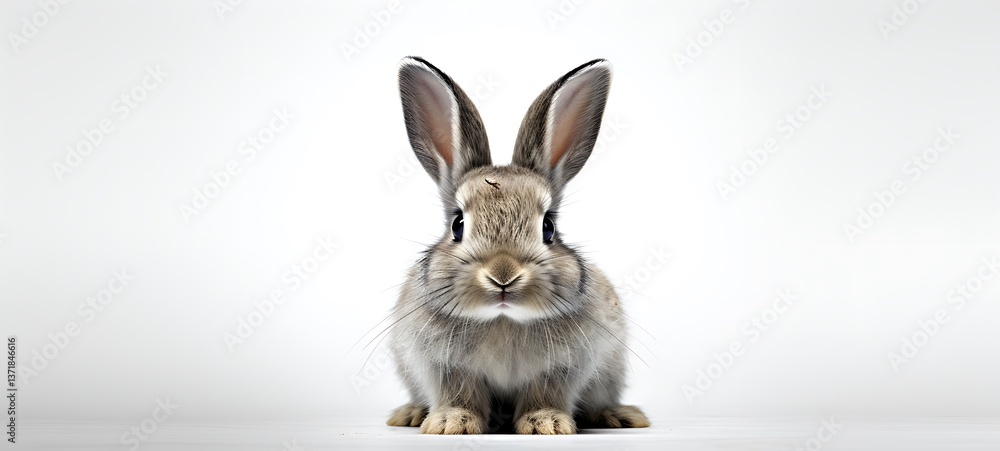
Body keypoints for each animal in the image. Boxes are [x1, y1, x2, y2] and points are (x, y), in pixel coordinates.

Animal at [385, 56, 649, 435]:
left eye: (549, 227)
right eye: (457, 225)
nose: (503, 275)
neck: (503, 321)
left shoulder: (561, 369)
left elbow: (544, 394)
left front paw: (546, 424)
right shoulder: (445, 366)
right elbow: (459, 394)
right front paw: (452, 423)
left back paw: (619, 416)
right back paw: (410, 414)